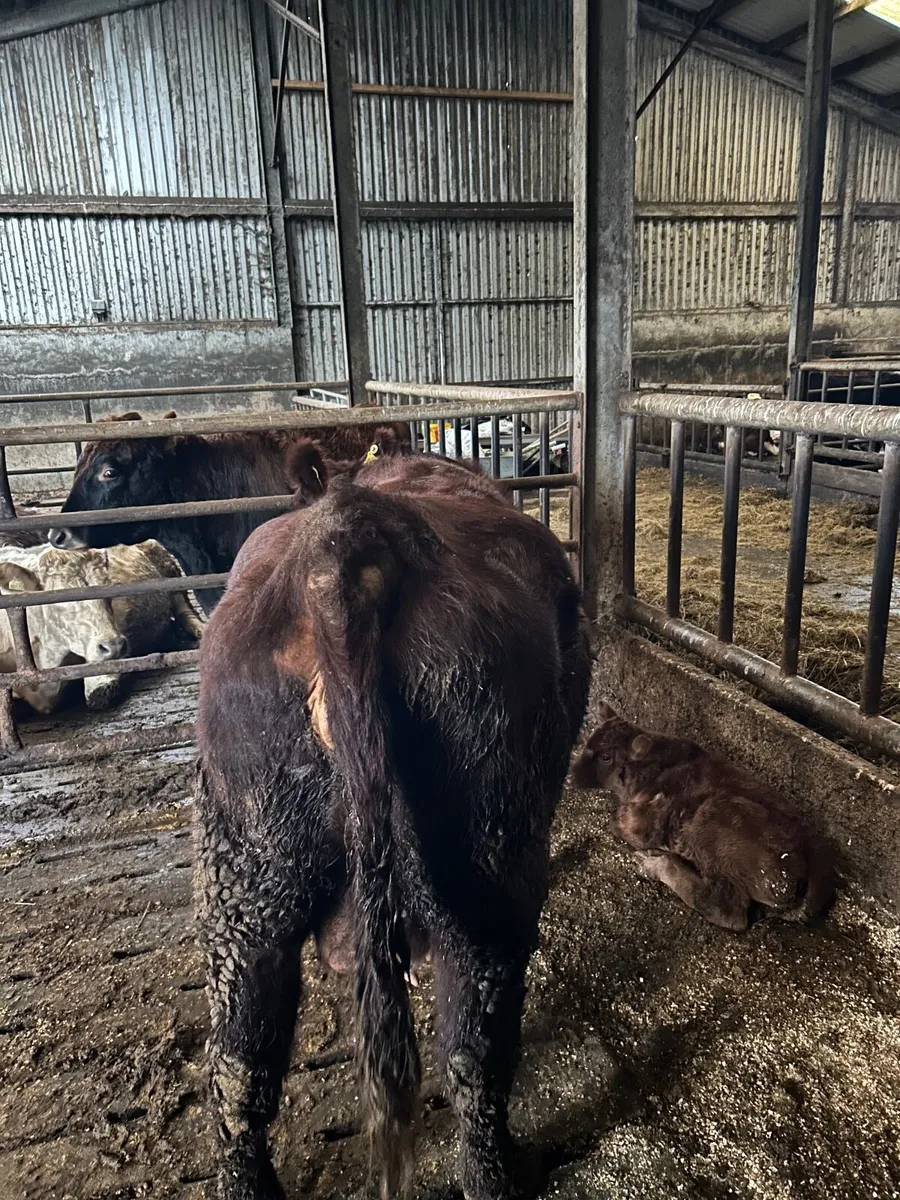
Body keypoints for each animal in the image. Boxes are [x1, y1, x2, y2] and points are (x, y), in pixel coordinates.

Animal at [193, 442, 592, 1200]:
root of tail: (349, 538)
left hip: (248, 862)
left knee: (239, 1061)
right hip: (486, 858)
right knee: (474, 1045)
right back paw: (499, 1172)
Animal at [569, 704, 837, 931]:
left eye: (606, 757)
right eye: (588, 743)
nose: (571, 775)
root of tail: (820, 866)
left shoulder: (646, 822)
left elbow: (617, 820)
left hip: (712, 818)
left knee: (725, 910)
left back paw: (655, 863)